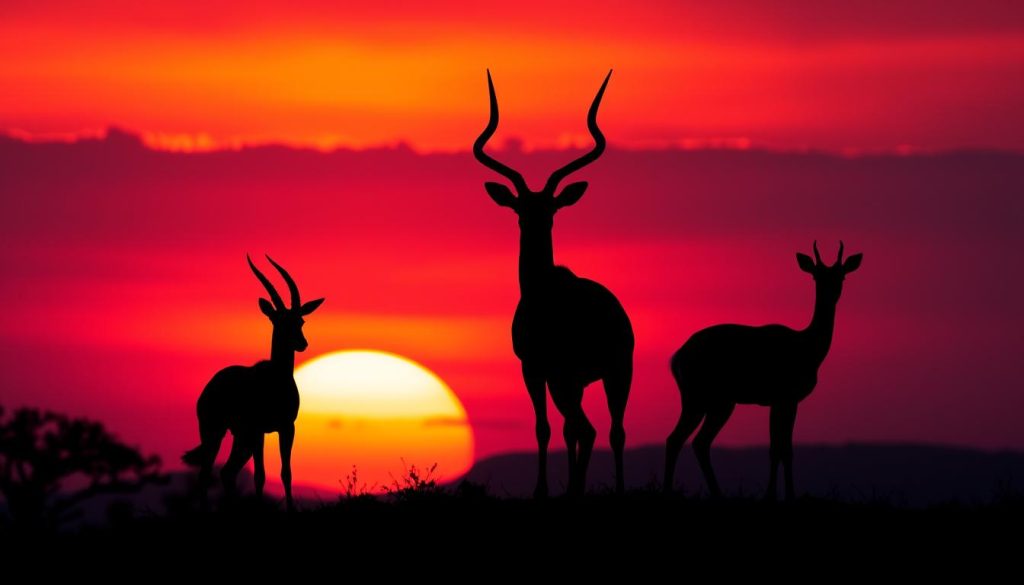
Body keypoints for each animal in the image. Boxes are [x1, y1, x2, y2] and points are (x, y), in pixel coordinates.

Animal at [183, 255, 324, 511]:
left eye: (300, 320)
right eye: (279, 321)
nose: (302, 343)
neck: (276, 379)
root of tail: (208, 388)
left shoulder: (286, 427)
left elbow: (286, 472)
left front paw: (290, 508)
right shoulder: (260, 430)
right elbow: (260, 475)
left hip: (240, 437)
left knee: (227, 472)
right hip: (214, 432)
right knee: (206, 472)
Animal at [474, 70, 635, 497]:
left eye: (551, 208)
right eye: (520, 208)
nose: (534, 224)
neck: (542, 293)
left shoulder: (543, 369)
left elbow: (552, 429)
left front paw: (545, 490)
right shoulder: (552, 372)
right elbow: (554, 430)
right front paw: (550, 488)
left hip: (596, 373)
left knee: (598, 429)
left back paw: (592, 488)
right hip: (596, 375)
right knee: (599, 429)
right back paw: (598, 488)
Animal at [664, 242, 862, 500]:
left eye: (842, 275)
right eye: (816, 276)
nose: (832, 293)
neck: (808, 349)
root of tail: (678, 356)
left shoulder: (780, 401)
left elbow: (778, 447)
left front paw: (777, 494)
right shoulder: (786, 397)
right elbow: (782, 448)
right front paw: (782, 495)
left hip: (716, 402)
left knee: (697, 441)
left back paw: (714, 493)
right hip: (700, 399)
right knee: (678, 439)